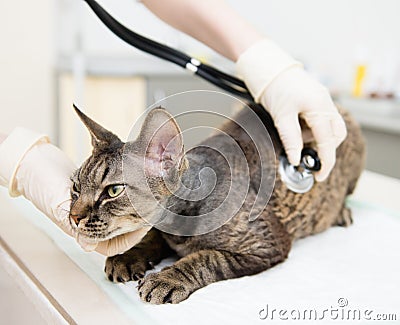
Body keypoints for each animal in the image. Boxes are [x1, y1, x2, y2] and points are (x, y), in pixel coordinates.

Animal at [69, 104, 366, 304]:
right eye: (75, 188)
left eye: (113, 191)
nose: (73, 217)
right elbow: (151, 237)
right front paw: (129, 255)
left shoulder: (267, 244)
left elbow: (206, 258)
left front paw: (167, 278)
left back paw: (342, 212)